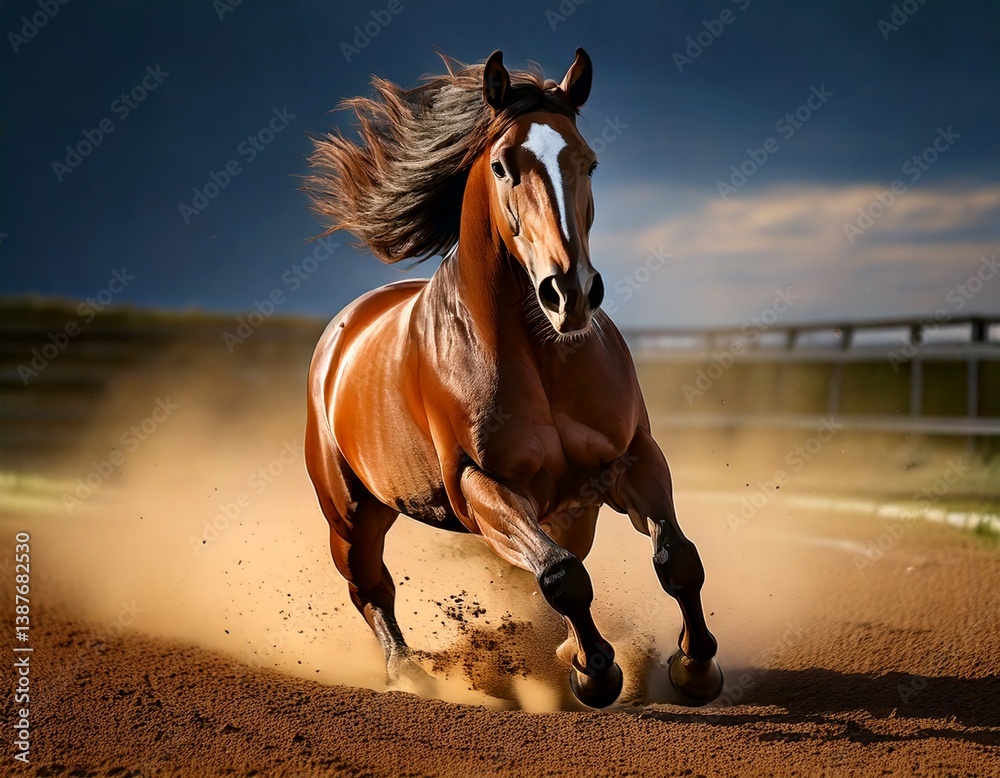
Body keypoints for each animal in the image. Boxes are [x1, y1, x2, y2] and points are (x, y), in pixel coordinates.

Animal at [303, 49, 723, 708]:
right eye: (503, 165)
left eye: (589, 161)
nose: (569, 292)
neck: (540, 356)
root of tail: (342, 334)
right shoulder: (482, 485)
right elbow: (562, 576)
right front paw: (595, 673)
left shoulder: (631, 457)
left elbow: (677, 558)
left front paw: (695, 666)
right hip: (350, 514)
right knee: (371, 588)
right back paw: (412, 675)